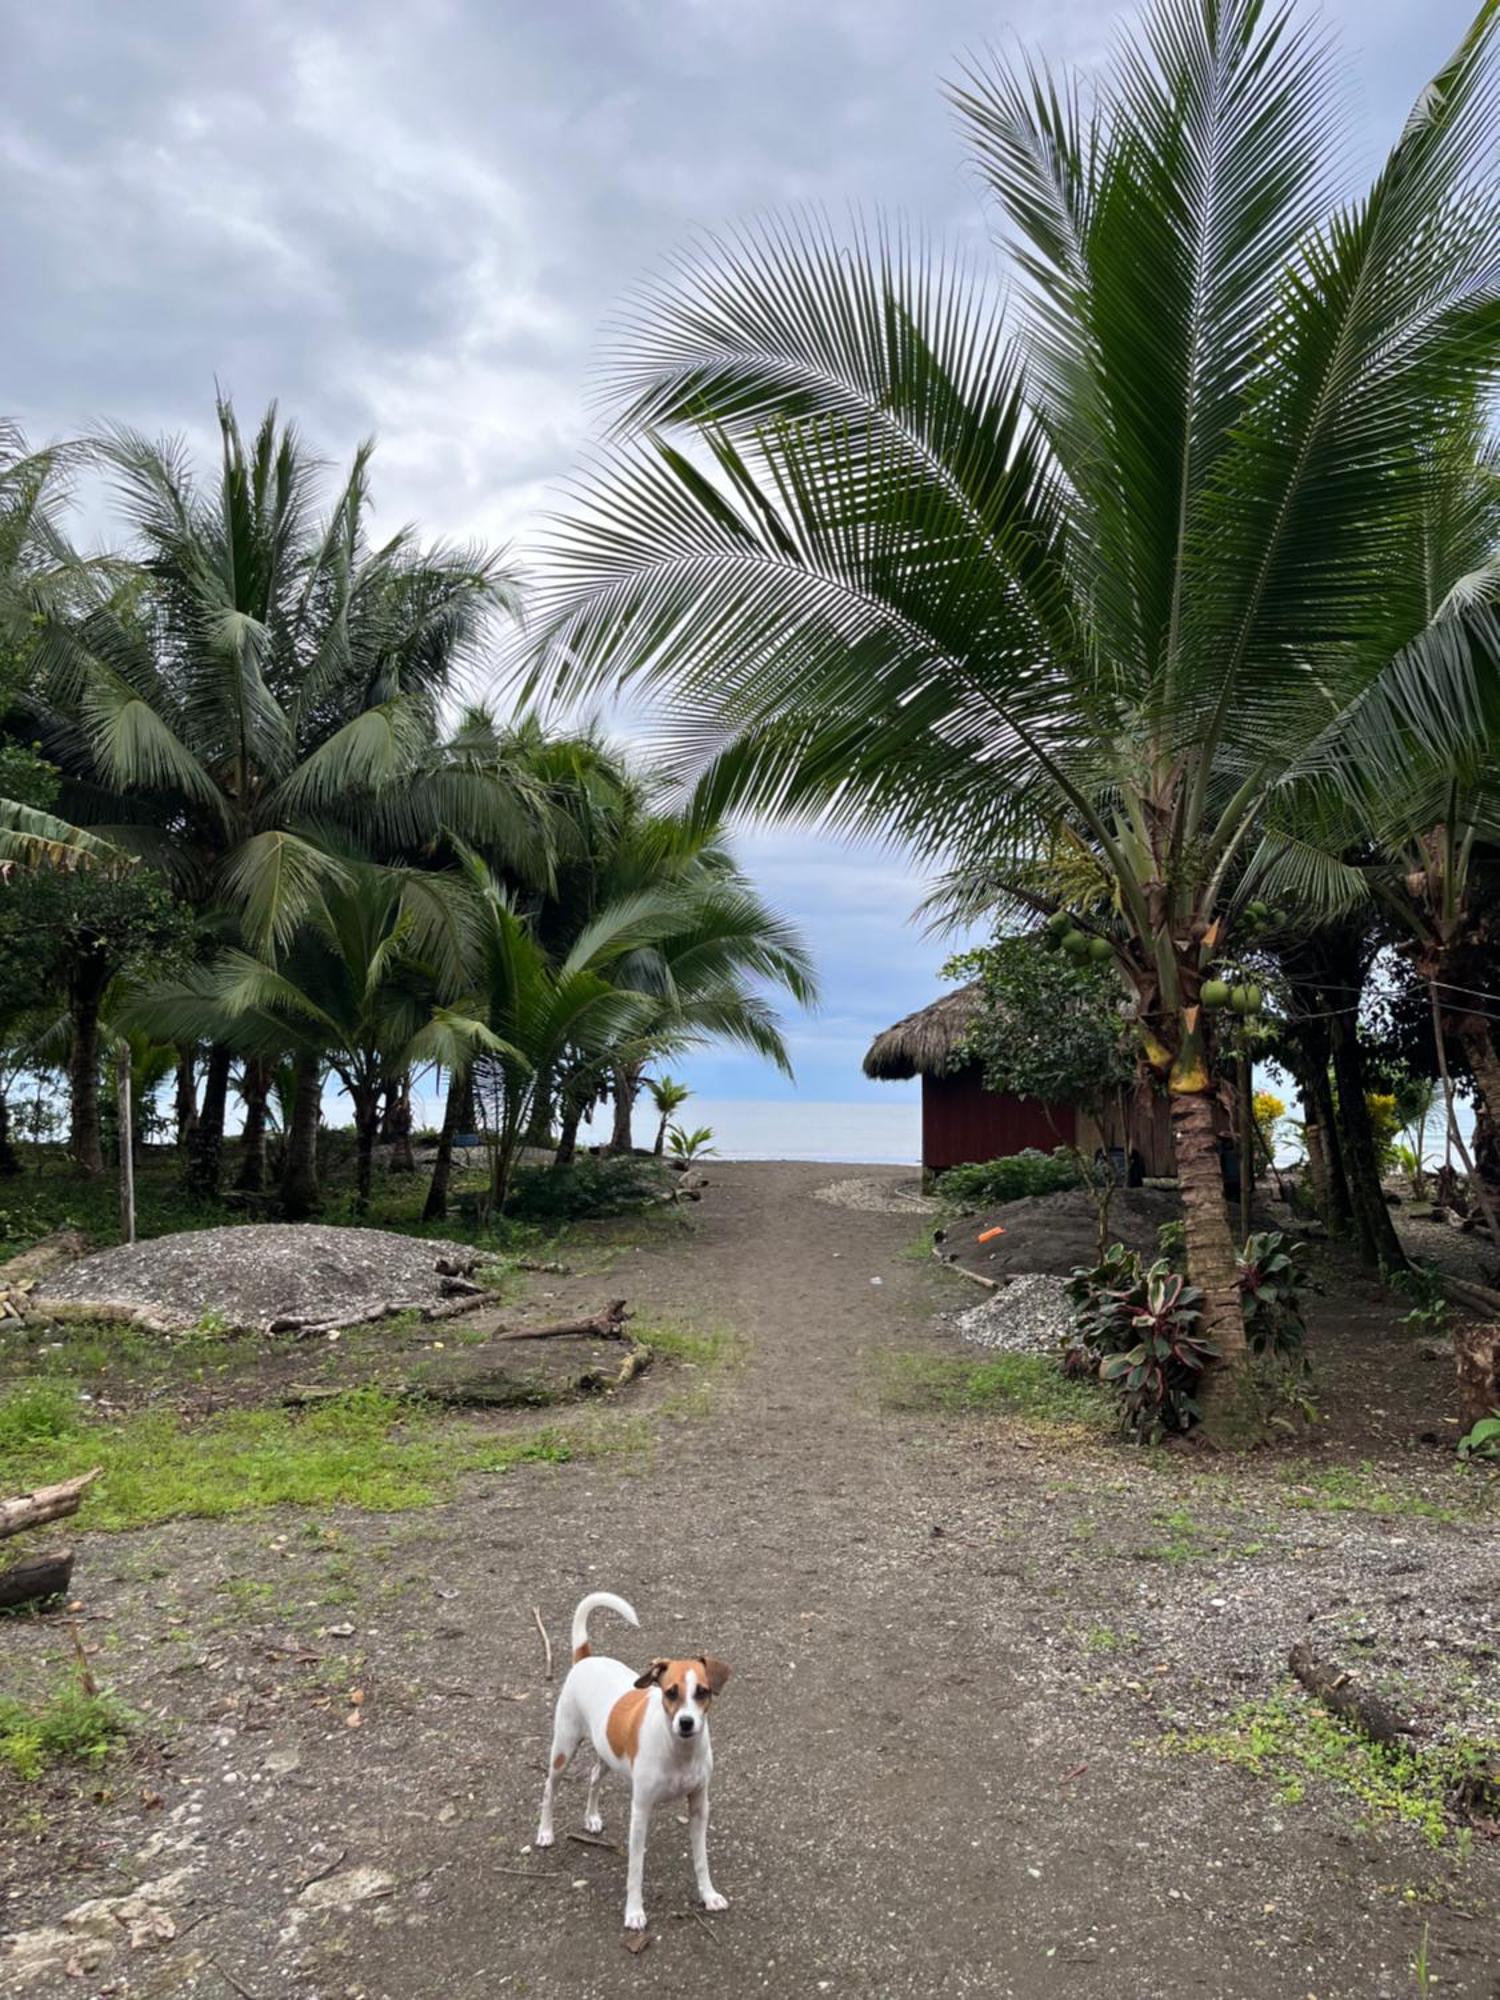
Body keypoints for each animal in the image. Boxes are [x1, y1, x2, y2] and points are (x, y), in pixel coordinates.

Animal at [536, 1584, 736, 1928]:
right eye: (670, 1692)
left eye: (702, 1692)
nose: (686, 1722)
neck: (678, 1751)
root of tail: (585, 1658)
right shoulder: (641, 1811)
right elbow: (635, 1869)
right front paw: (634, 1912)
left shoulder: (699, 1806)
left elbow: (701, 1860)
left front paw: (708, 1895)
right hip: (564, 1748)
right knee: (550, 1788)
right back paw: (545, 1832)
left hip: (607, 1753)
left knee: (593, 1776)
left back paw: (591, 1817)